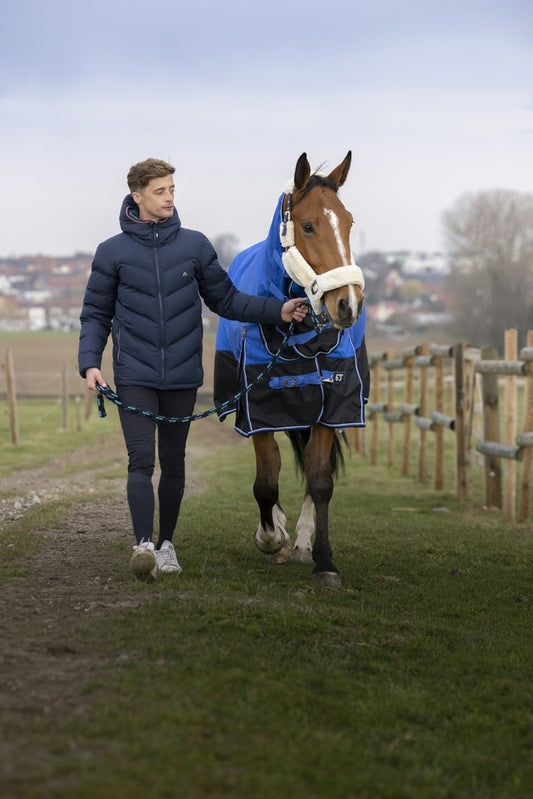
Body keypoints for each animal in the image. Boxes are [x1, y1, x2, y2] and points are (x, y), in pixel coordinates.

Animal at [214, 152, 368, 588]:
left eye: (349, 222)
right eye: (309, 225)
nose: (348, 304)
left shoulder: (328, 406)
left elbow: (320, 482)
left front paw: (323, 560)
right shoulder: (259, 411)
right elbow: (266, 482)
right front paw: (270, 537)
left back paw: (300, 542)